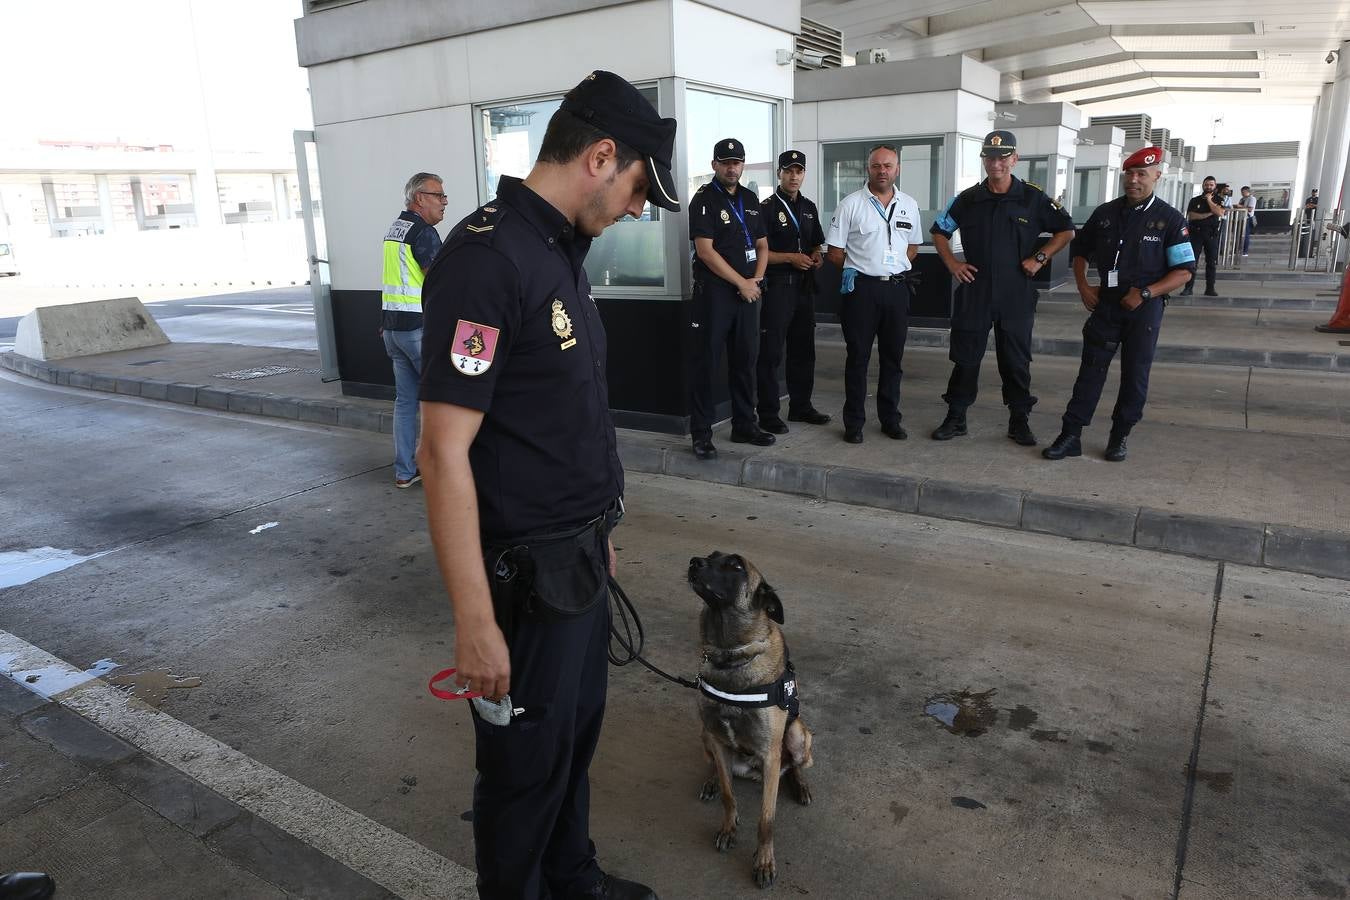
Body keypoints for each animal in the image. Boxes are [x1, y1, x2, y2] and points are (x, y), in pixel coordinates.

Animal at [685, 553, 810, 890]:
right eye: (711, 556)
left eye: (736, 566)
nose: (694, 562)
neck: (729, 654)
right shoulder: (716, 737)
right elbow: (730, 796)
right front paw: (729, 828)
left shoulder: (770, 753)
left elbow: (766, 821)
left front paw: (764, 861)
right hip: (704, 734)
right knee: (719, 767)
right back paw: (713, 779)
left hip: (798, 734)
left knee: (795, 764)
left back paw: (800, 785)